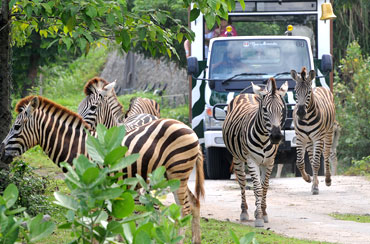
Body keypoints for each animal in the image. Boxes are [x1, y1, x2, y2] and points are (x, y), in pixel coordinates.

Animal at [0, 96, 204, 243]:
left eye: (16, 127)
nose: (0, 152)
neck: (79, 148)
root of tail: (188, 128)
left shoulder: (94, 189)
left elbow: (95, 224)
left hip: (177, 172)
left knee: (184, 210)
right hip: (174, 176)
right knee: (194, 204)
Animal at [221, 77, 288, 227]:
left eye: (282, 109)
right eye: (265, 109)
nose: (276, 136)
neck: (263, 138)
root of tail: (247, 94)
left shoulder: (269, 162)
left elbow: (264, 187)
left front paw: (263, 213)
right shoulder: (252, 161)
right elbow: (257, 188)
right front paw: (258, 217)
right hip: (237, 158)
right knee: (242, 183)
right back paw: (244, 212)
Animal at [290, 67, 336, 195]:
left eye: (308, 92)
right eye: (295, 91)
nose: (300, 112)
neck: (306, 120)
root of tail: (319, 86)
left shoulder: (318, 138)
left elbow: (316, 163)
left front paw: (315, 187)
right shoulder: (300, 138)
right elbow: (300, 162)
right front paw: (308, 179)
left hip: (328, 133)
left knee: (326, 154)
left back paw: (327, 179)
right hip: (309, 140)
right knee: (311, 157)